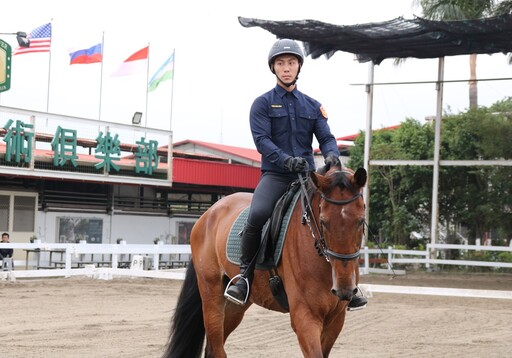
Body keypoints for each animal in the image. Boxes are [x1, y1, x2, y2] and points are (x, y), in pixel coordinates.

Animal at [162, 166, 366, 356]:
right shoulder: (305, 318)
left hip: (237, 305)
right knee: (217, 348)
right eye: (323, 221)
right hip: (211, 295)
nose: (344, 289)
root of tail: (208, 213)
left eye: (361, 221)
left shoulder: (335, 320)